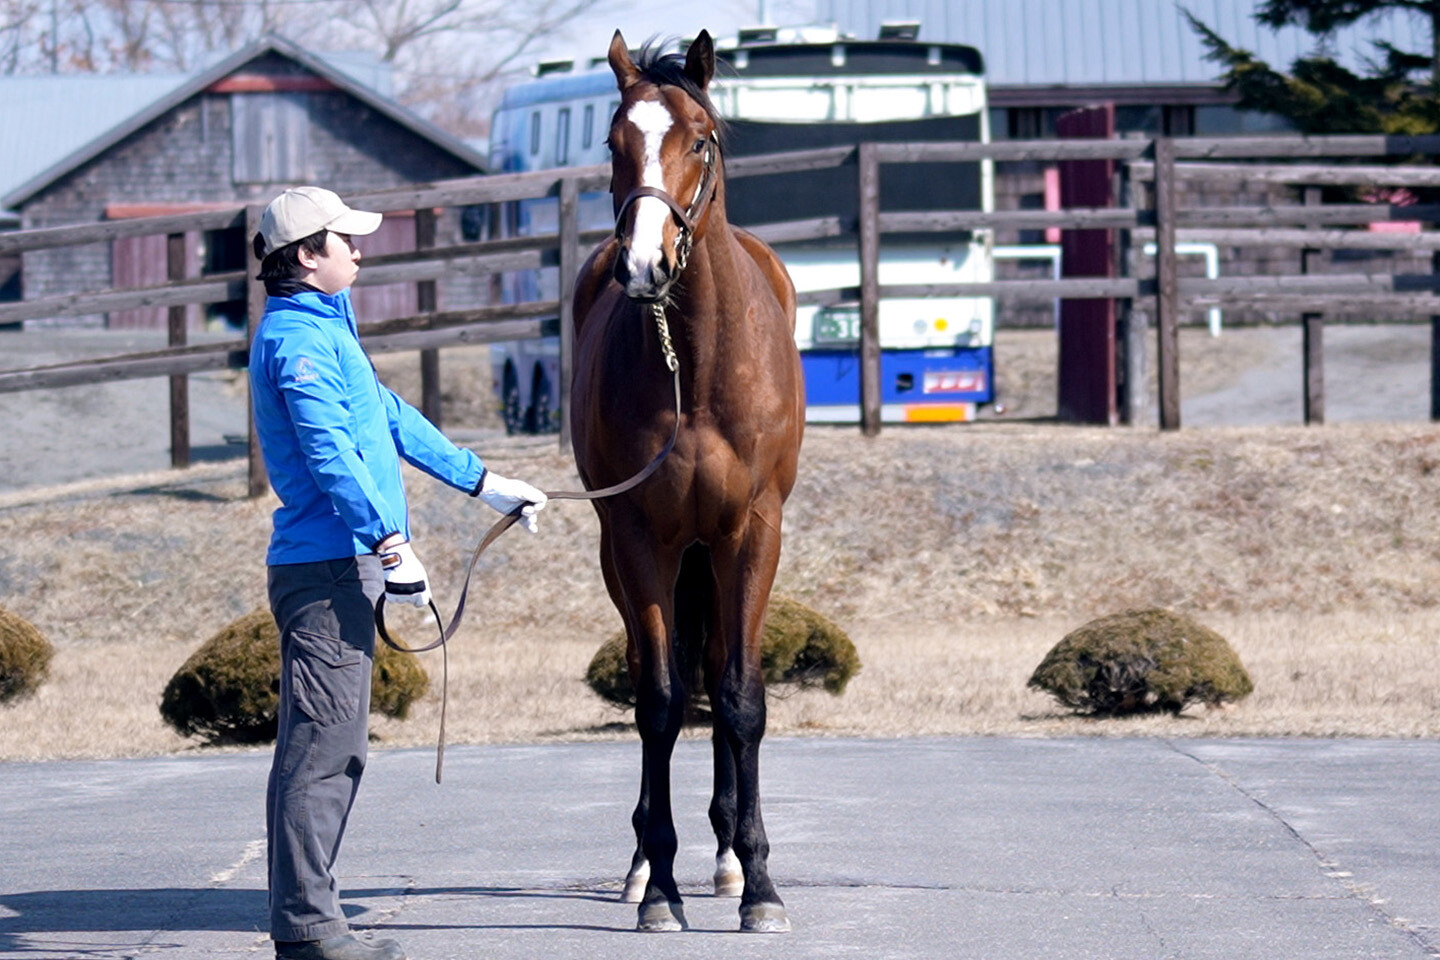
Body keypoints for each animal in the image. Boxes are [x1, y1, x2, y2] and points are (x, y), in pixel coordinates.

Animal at [569, 29, 805, 934]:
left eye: (699, 139)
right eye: (613, 143)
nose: (643, 264)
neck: (696, 368)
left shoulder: (752, 531)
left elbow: (740, 698)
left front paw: (761, 883)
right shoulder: (641, 538)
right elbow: (660, 701)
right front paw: (660, 887)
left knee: (715, 671)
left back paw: (731, 859)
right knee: (657, 673)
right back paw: (647, 862)